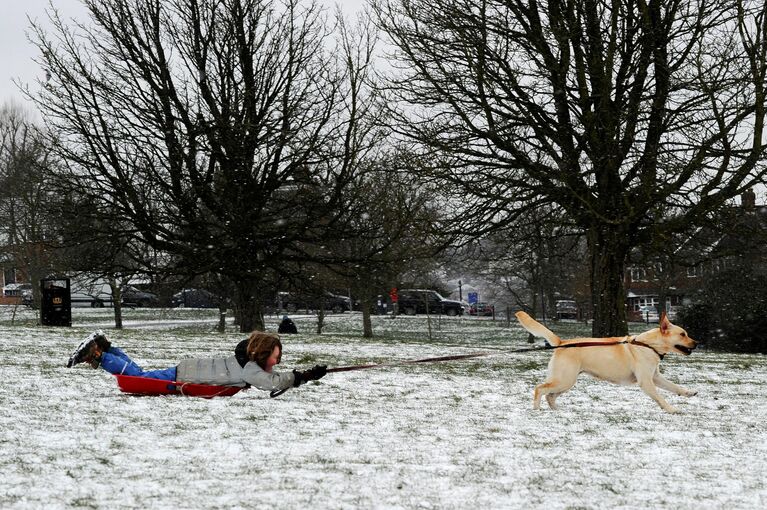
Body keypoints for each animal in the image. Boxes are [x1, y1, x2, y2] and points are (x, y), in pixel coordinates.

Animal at [520, 310, 700, 414]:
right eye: (683, 334)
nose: (697, 343)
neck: (649, 345)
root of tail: (562, 342)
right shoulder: (646, 382)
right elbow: (660, 397)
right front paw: (672, 409)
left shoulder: (655, 377)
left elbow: (674, 387)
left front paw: (689, 392)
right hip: (565, 379)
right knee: (540, 389)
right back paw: (536, 409)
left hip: (567, 382)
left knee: (550, 396)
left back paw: (558, 410)